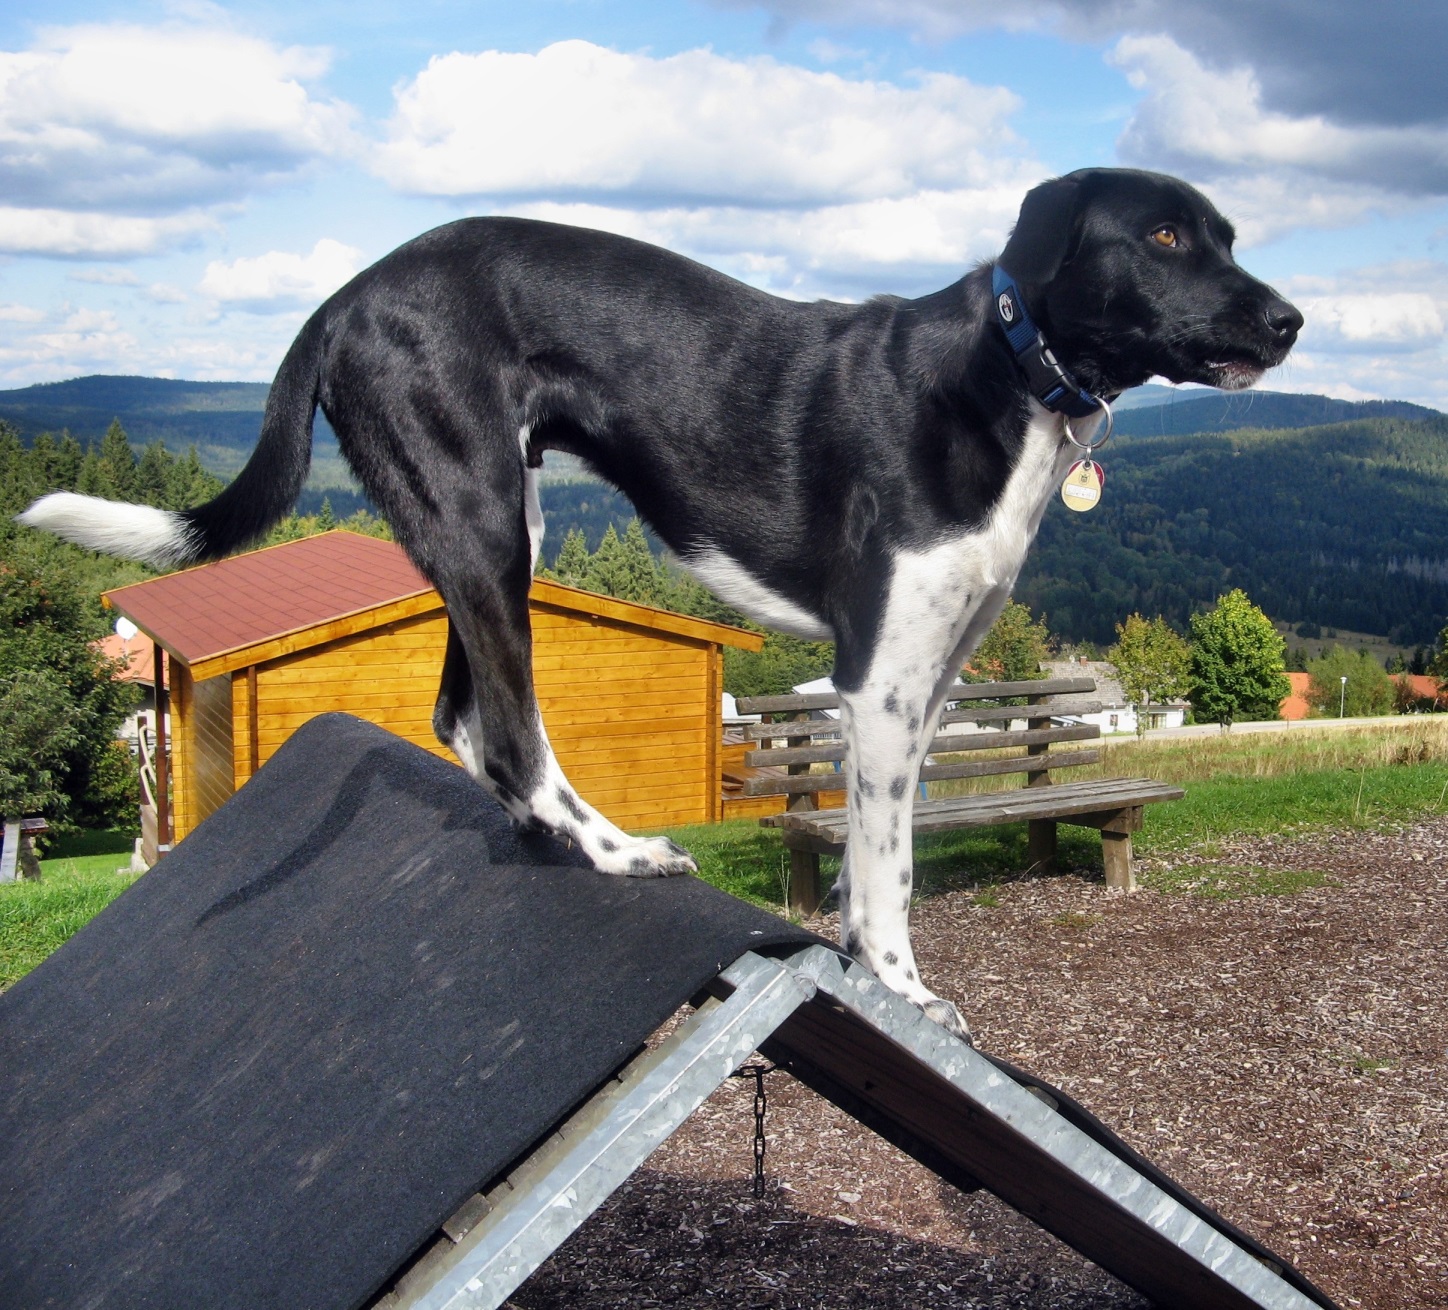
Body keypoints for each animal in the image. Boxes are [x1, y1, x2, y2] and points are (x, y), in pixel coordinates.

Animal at [19, 168, 1303, 1036]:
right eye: (1164, 234)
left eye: (1226, 233)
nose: (1288, 319)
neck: (1001, 369)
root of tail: (342, 297)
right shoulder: (877, 680)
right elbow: (888, 861)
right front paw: (897, 983)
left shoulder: (928, 681)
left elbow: (876, 842)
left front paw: (857, 950)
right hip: (481, 520)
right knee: (509, 732)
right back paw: (618, 853)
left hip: (501, 527)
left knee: (464, 720)